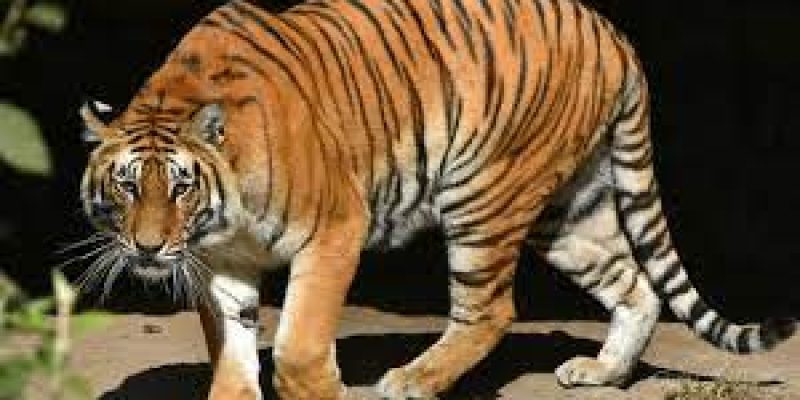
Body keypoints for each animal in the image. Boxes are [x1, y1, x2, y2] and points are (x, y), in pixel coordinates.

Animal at [77, 0, 795, 399]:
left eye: (180, 185)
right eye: (126, 184)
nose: (148, 247)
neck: (219, 224)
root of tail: (611, 32)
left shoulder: (334, 229)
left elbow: (300, 345)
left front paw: (324, 386)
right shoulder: (221, 263)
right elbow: (231, 353)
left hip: (484, 194)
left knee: (491, 311)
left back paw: (412, 381)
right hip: (570, 209)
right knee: (636, 283)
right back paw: (602, 372)